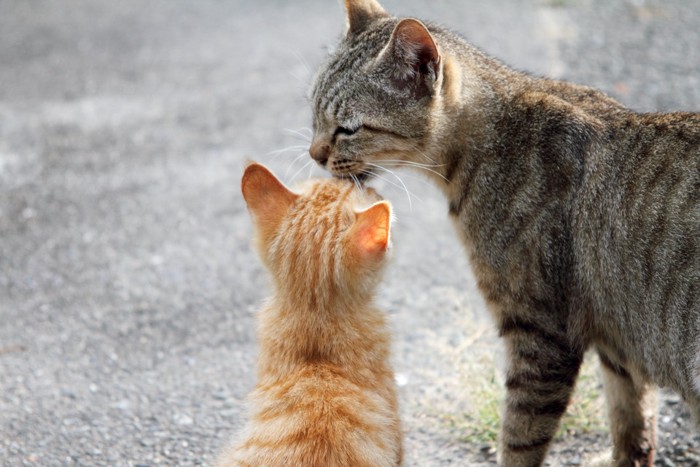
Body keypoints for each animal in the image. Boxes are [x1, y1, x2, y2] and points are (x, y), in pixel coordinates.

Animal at [310, 0, 700, 467]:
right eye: (313, 114)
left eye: (347, 128)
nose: (313, 154)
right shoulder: (616, 340)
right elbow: (632, 421)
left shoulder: (541, 332)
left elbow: (519, 436)